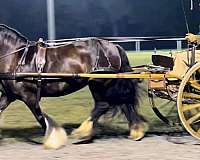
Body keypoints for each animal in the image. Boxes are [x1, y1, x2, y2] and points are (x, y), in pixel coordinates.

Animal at [0, 24, 147, 149]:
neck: (18, 57)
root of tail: (114, 46)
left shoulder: (28, 96)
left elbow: (40, 117)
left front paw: (53, 140)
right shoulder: (9, 95)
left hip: (99, 83)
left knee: (104, 105)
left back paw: (82, 132)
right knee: (122, 102)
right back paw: (135, 131)